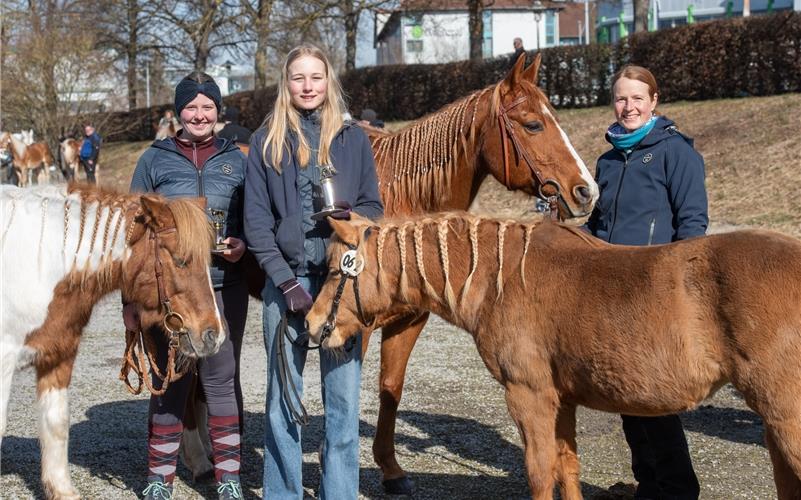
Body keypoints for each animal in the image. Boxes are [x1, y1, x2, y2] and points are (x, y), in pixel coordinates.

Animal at [0, 185, 222, 500]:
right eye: (181, 260)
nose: (214, 334)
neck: (39, 265)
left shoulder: (57, 355)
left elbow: (56, 423)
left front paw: (61, 490)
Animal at [310, 215, 800, 500]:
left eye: (335, 270)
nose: (314, 325)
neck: (503, 279)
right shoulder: (561, 398)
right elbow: (568, 466)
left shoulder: (529, 395)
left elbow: (541, 472)